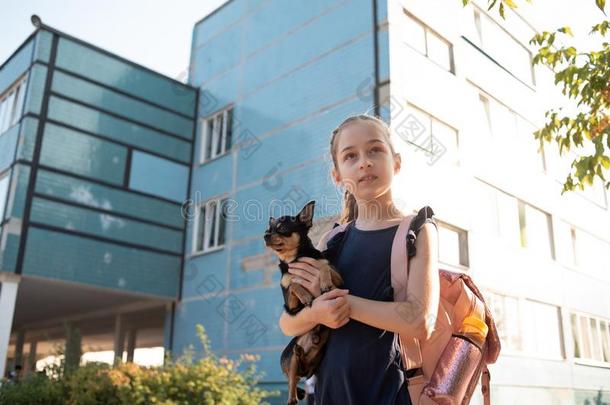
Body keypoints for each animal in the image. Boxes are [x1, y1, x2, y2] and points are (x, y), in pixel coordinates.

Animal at [264, 200, 344, 402]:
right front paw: (306, 295)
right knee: (291, 394)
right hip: (291, 359)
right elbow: (292, 283)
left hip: (313, 366)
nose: (265, 235)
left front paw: (324, 283)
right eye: (268, 229)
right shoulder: (290, 306)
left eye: (282, 228)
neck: (295, 259)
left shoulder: (339, 278)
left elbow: (323, 266)